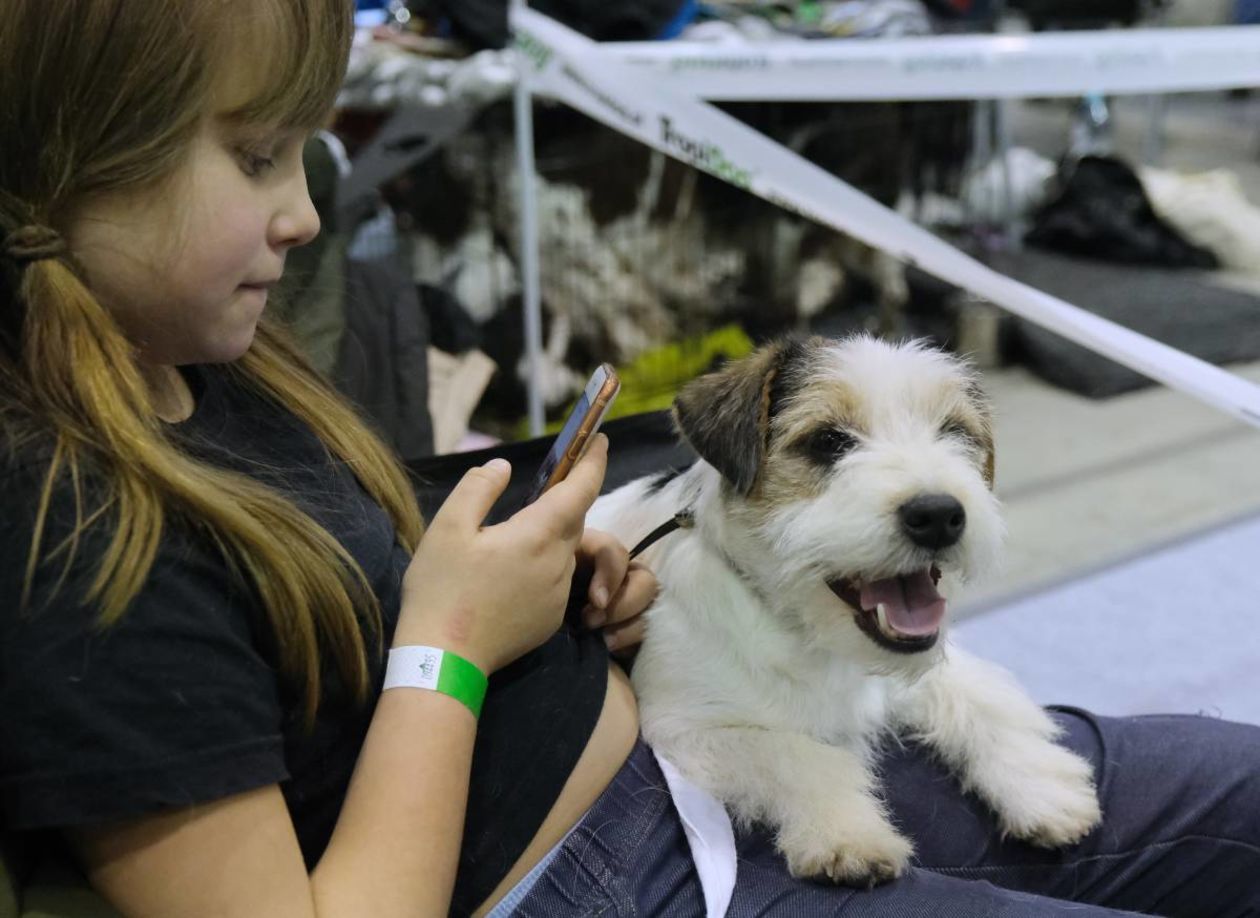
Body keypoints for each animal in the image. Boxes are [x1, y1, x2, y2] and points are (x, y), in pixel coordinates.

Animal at [584, 334, 1098, 881]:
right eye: (828, 441)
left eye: (954, 432)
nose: (939, 514)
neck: (810, 638)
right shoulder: (682, 728)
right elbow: (798, 754)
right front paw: (849, 834)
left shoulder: (916, 670)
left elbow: (981, 697)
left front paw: (1044, 789)